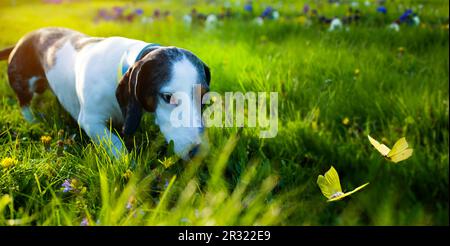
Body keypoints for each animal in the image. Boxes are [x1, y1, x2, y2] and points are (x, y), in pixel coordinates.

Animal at [0, 27, 211, 160]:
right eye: (167, 97)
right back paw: (33, 120)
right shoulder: (91, 121)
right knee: (24, 104)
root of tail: (21, 41)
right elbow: (115, 143)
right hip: (24, 85)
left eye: (204, 98)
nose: (199, 153)